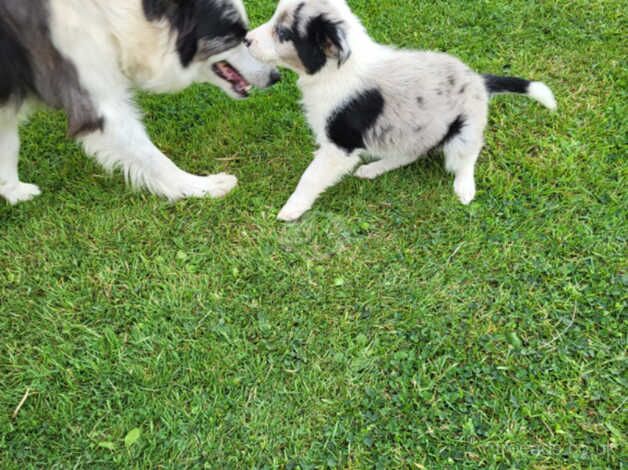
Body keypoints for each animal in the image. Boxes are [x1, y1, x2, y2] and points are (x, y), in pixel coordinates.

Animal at [0, 0, 280, 206]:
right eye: (237, 36)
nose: (276, 77)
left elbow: (8, 149)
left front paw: (15, 193)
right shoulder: (99, 104)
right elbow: (152, 157)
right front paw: (201, 186)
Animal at [243, 0, 556, 221]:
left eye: (283, 33)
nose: (245, 39)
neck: (335, 70)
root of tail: (480, 80)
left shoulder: (339, 145)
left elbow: (310, 177)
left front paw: (291, 209)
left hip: (463, 131)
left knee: (466, 158)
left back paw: (464, 188)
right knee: (408, 154)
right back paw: (373, 169)